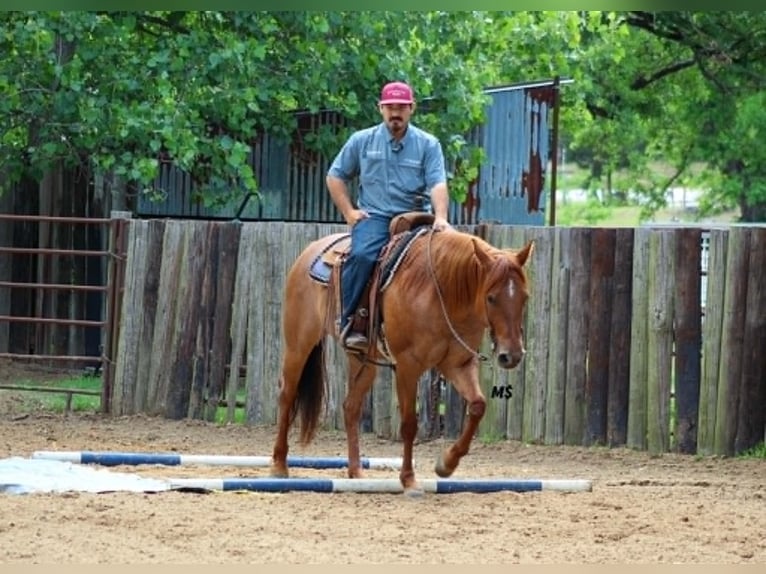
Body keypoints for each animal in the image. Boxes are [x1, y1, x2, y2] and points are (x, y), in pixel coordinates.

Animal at [270, 219, 534, 496]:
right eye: (491, 298)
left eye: (525, 296)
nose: (512, 355)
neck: (441, 291)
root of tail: (309, 252)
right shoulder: (408, 366)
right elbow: (409, 424)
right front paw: (408, 480)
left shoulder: (458, 364)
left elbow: (478, 405)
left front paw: (446, 464)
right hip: (299, 345)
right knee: (287, 394)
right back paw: (279, 465)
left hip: (363, 360)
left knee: (350, 407)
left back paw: (356, 472)